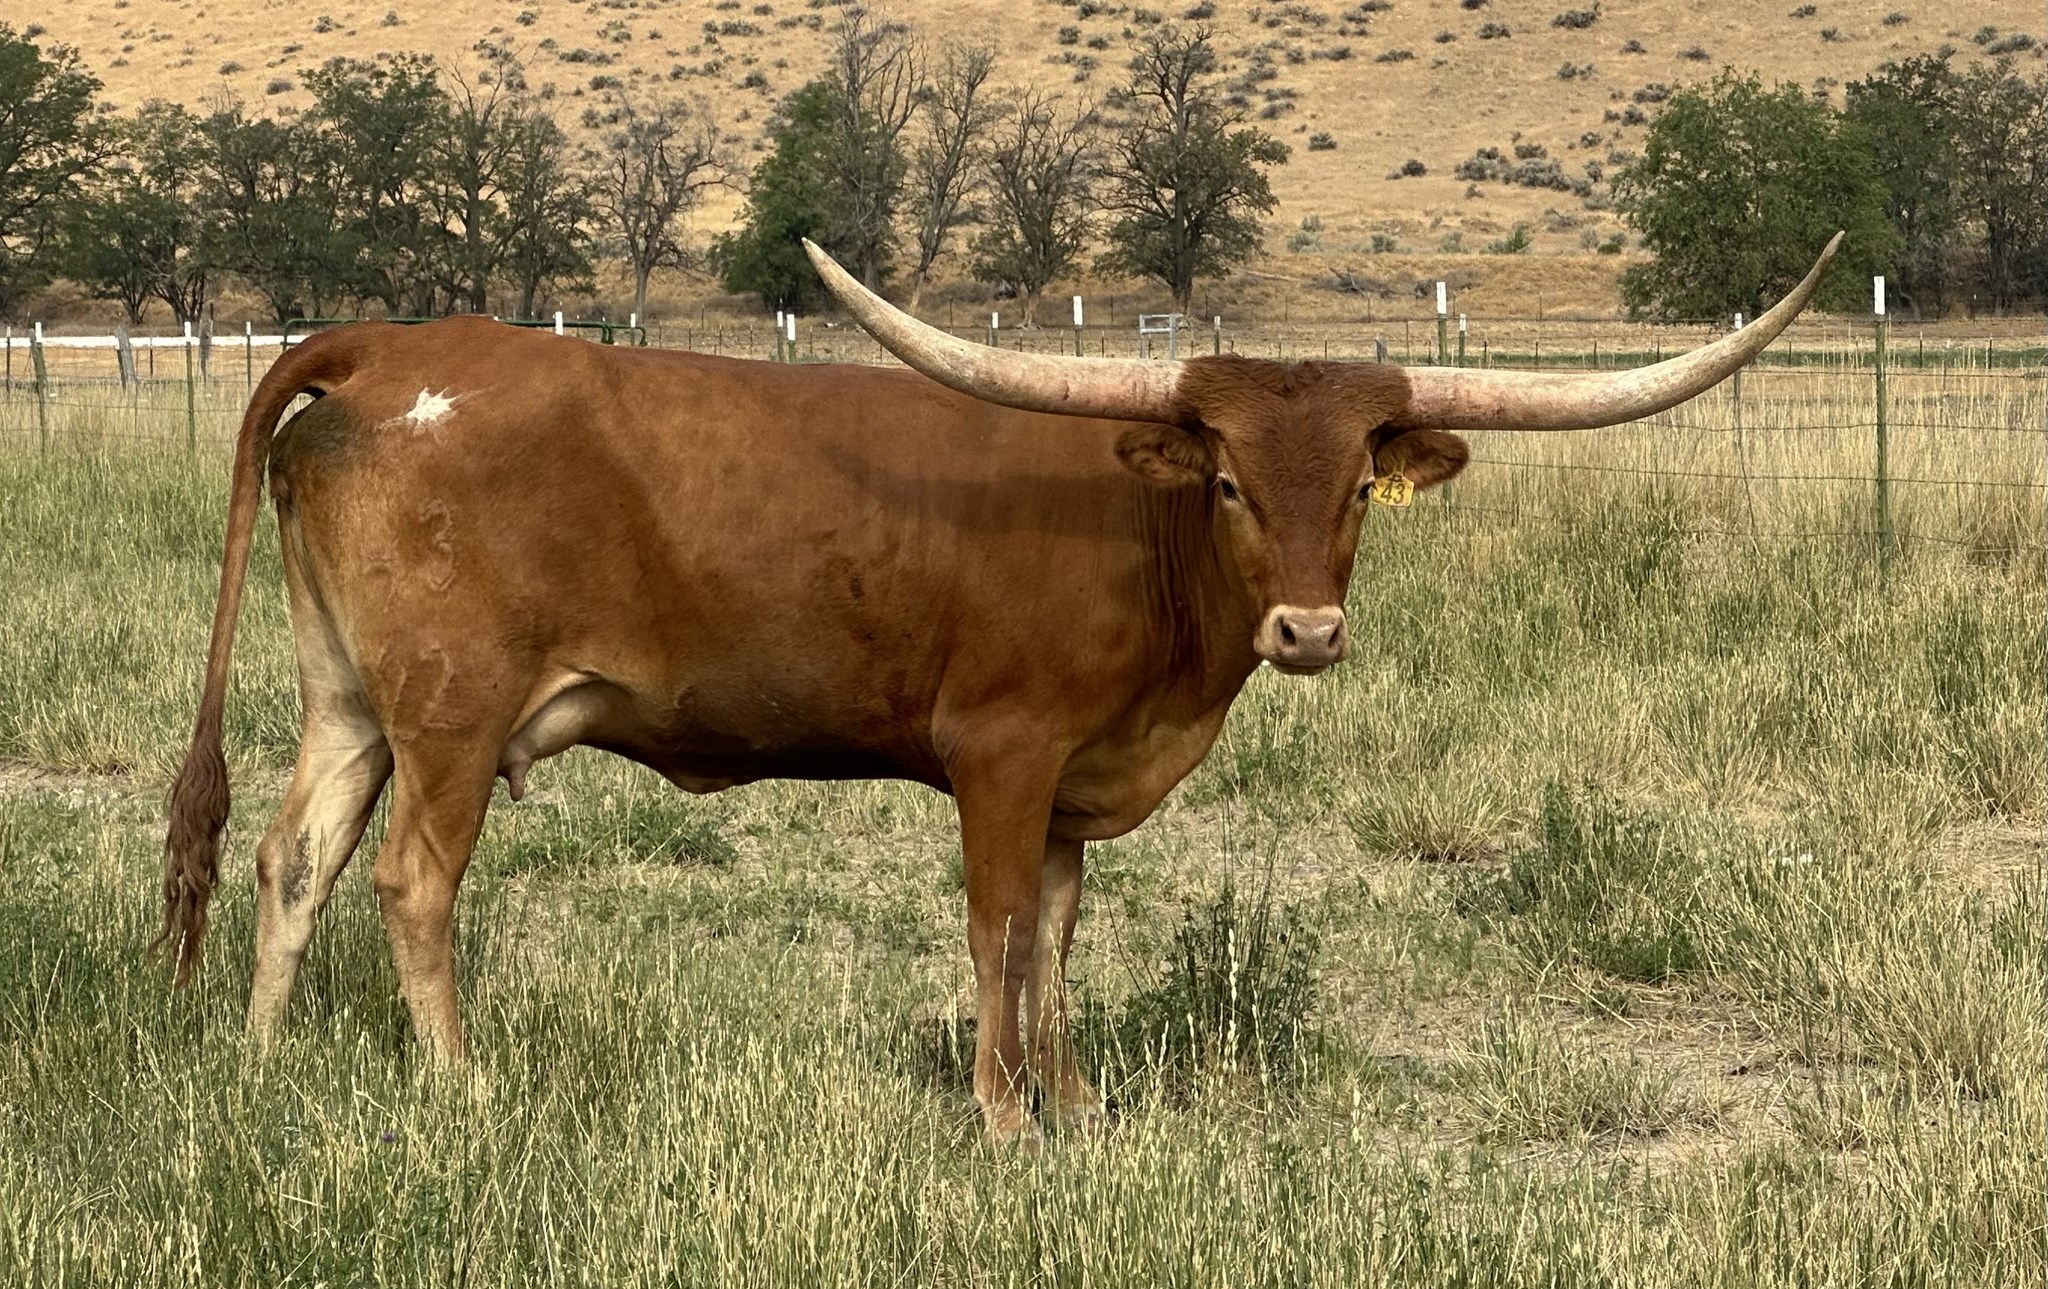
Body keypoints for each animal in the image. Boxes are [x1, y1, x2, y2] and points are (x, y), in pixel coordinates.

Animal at [158, 234, 1839, 1143]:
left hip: (351, 698)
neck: (1138, 534)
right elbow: (995, 928)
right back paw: (461, 1093)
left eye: (1361, 484)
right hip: (452, 711)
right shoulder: (1004, 757)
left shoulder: (1080, 788)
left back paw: (257, 1061)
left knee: (292, 855)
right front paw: (1002, 1111)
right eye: (1228, 479)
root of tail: (390, 346)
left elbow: (1061, 941)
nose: (1306, 631)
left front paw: (1079, 1105)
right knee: (411, 879)